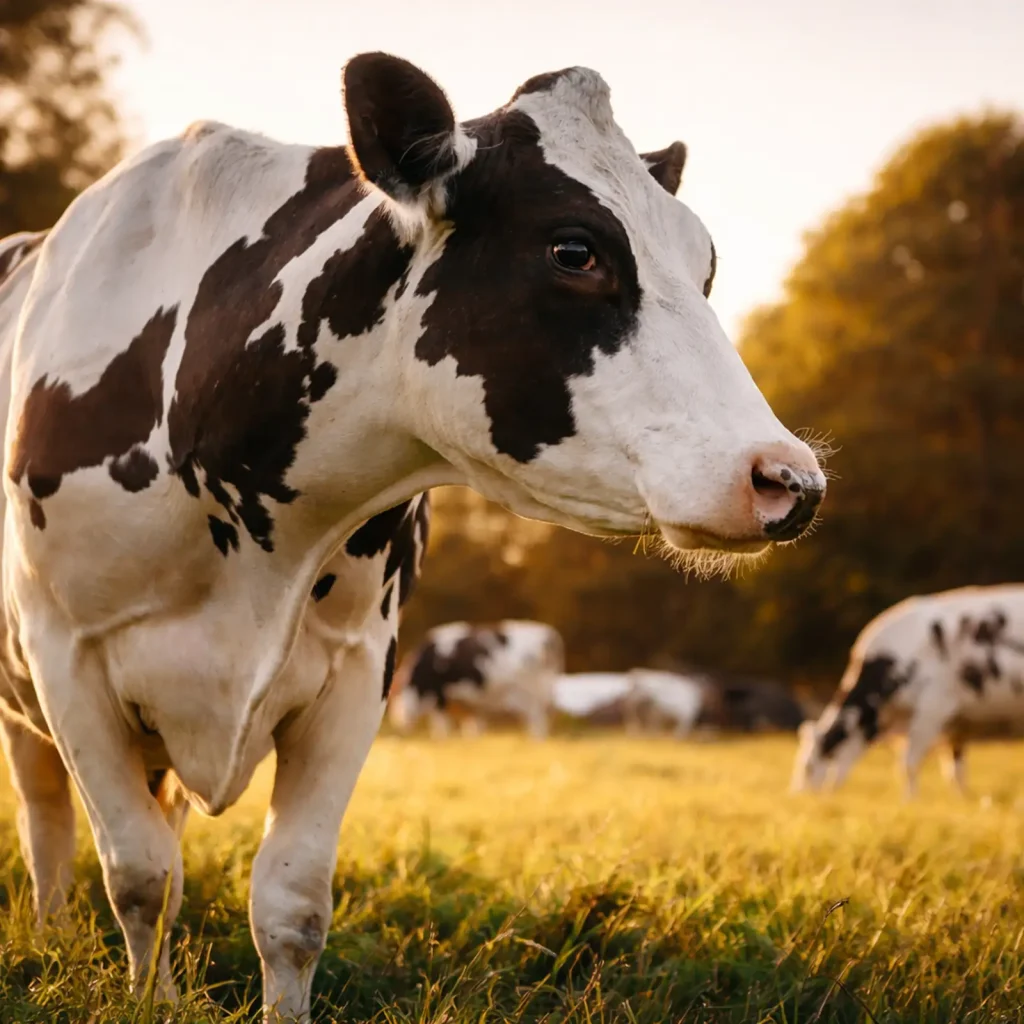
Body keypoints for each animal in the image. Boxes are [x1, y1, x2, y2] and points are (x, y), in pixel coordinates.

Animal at [388, 620, 563, 737]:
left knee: (537, 723)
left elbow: (442, 724)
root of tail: (549, 635)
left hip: (533, 695)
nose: (397, 724)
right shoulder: (472, 704)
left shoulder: (439, 694)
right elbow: (472, 725)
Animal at [791, 585, 1024, 798]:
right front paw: (961, 799)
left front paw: (910, 801)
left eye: (808, 767)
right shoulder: (958, 721)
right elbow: (955, 769)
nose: (795, 796)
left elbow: (909, 763)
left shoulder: (933, 708)